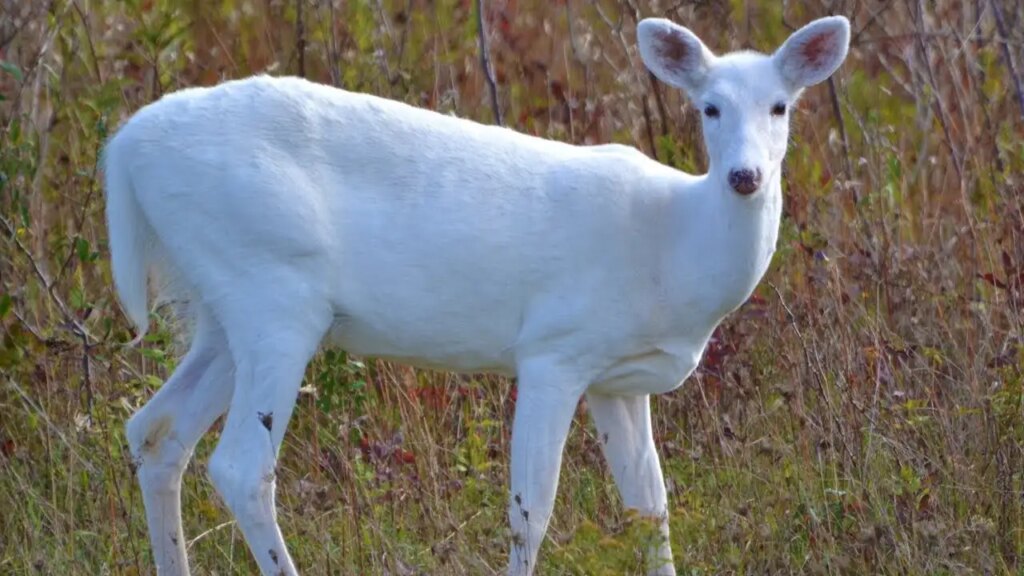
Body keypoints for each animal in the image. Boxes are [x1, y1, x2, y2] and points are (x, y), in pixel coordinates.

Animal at [104, 14, 850, 576]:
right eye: (709, 107)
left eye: (780, 106)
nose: (745, 176)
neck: (673, 247)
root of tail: (124, 148)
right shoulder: (553, 349)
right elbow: (531, 509)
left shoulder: (619, 380)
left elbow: (650, 507)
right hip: (273, 292)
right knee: (239, 467)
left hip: (223, 310)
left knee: (155, 431)